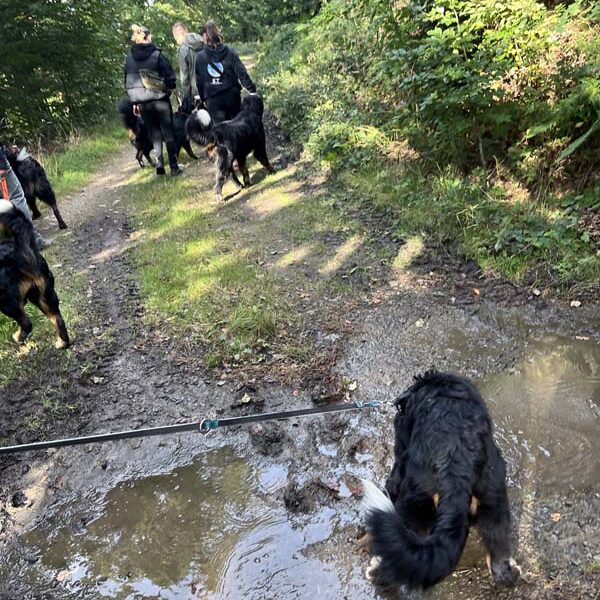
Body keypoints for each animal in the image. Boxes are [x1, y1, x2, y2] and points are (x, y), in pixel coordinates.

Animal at [0, 204, 70, 350]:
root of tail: (19, 249)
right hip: (44, 296)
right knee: (58, 319)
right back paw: (62, 343)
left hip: (7, 302)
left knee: (27, 324)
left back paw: (18, 338)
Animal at [360, 370, 520, 592]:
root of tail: (457, 466)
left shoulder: (401, 451)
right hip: (493, 501)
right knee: (499, 556)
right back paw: (509, 573)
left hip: (413, 505)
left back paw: (377, 573)